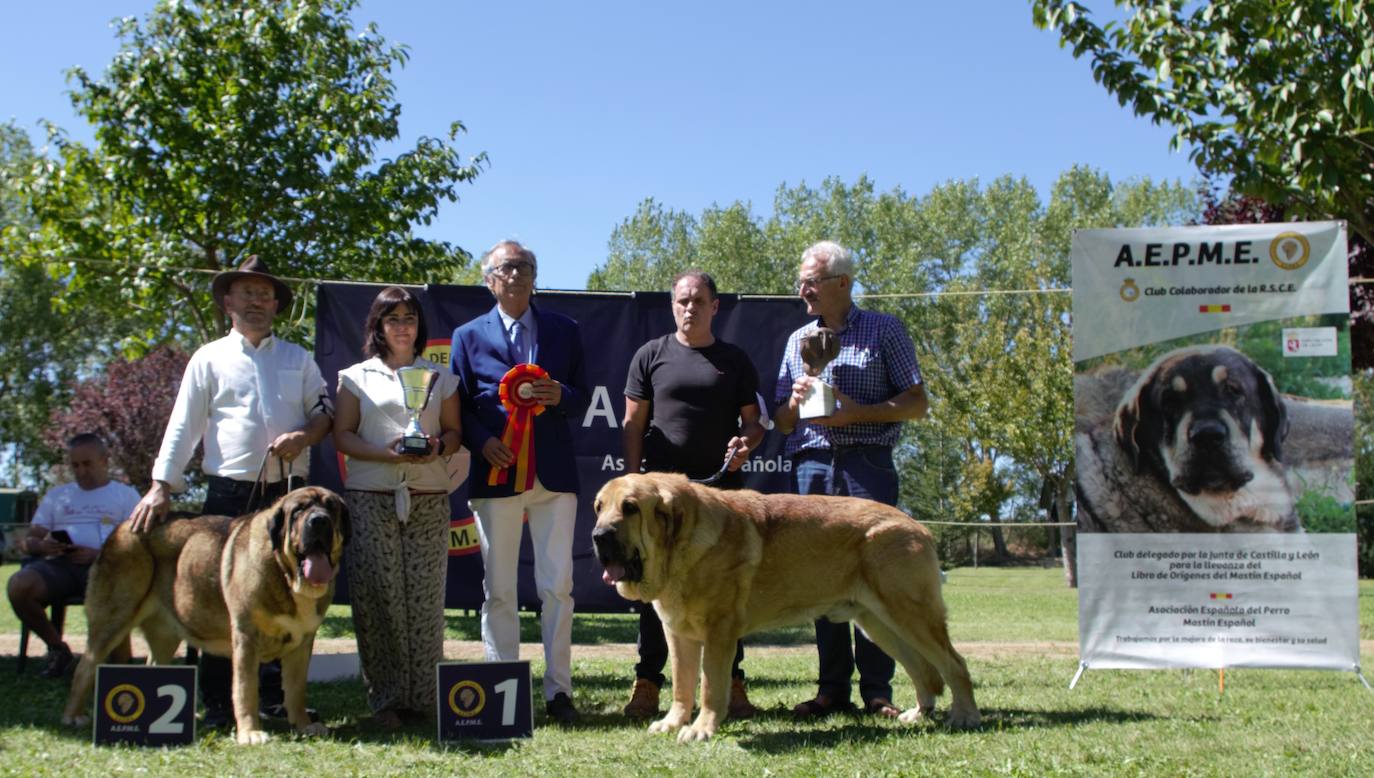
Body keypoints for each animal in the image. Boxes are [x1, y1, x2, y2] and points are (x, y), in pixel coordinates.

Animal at [63, 483, 348, 747]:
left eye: (331, 508)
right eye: (298, 510)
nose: (319, 520)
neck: (286, 574)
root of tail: (122, 527)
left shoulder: (302, 643)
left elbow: (296, 689)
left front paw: (304, 724)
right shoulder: (247, 638)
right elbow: (245, 689)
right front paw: (250, 733)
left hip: (164, 634)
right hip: (114, 617)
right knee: (85, 666)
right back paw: (74, 716)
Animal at [590, 472, 978, 747]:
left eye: (630, 508)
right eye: (598, 507)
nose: (598, 536)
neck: (681, 545)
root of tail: (917, 526)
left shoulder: (718, 633)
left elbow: (711, 687)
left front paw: (701, 729)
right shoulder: (679, 635)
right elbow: (683, 686)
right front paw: (673, 723)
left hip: (910, 615)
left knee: (954, 664)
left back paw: (965, 717)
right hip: (880, 624)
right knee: (921, 669)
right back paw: (919, 713)